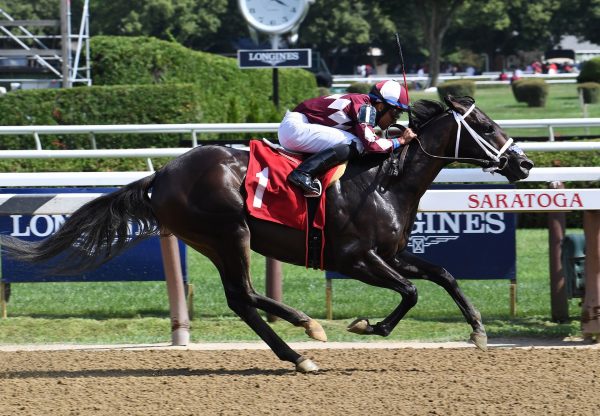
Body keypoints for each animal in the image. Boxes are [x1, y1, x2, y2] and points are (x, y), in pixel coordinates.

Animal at [1, 96, 536, 372]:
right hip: (228, 232)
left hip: (212, 241)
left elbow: (443, 274)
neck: (386, 179)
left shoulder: (392, 253)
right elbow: (409, 292)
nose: (525, 164)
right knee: (242, 295)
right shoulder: (354, 258)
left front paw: (479, 331)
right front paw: (369, 326)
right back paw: (301, 346)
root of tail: (163, 174)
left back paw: (301, 333)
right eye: (485, 124)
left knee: (244, 296)